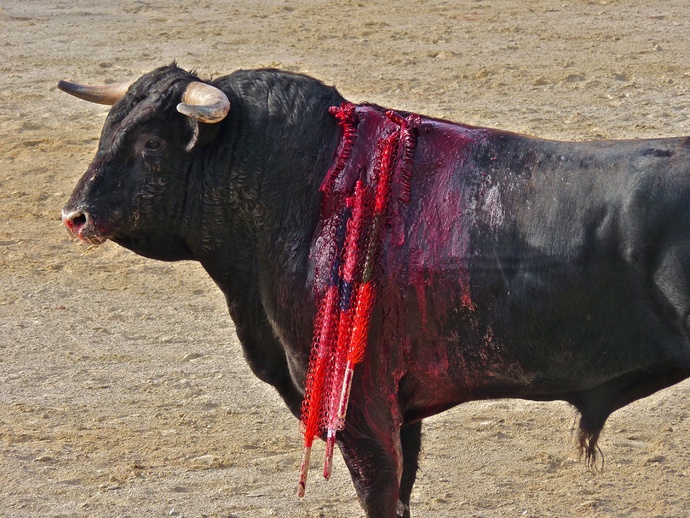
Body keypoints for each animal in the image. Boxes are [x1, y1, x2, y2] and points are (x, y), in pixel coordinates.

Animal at [58, 63, 690, 518]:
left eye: (152, 145)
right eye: (108, 129)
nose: (74, 215)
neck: (301, 185)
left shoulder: (361, 408)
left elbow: (381, 493)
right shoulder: (399, 410)